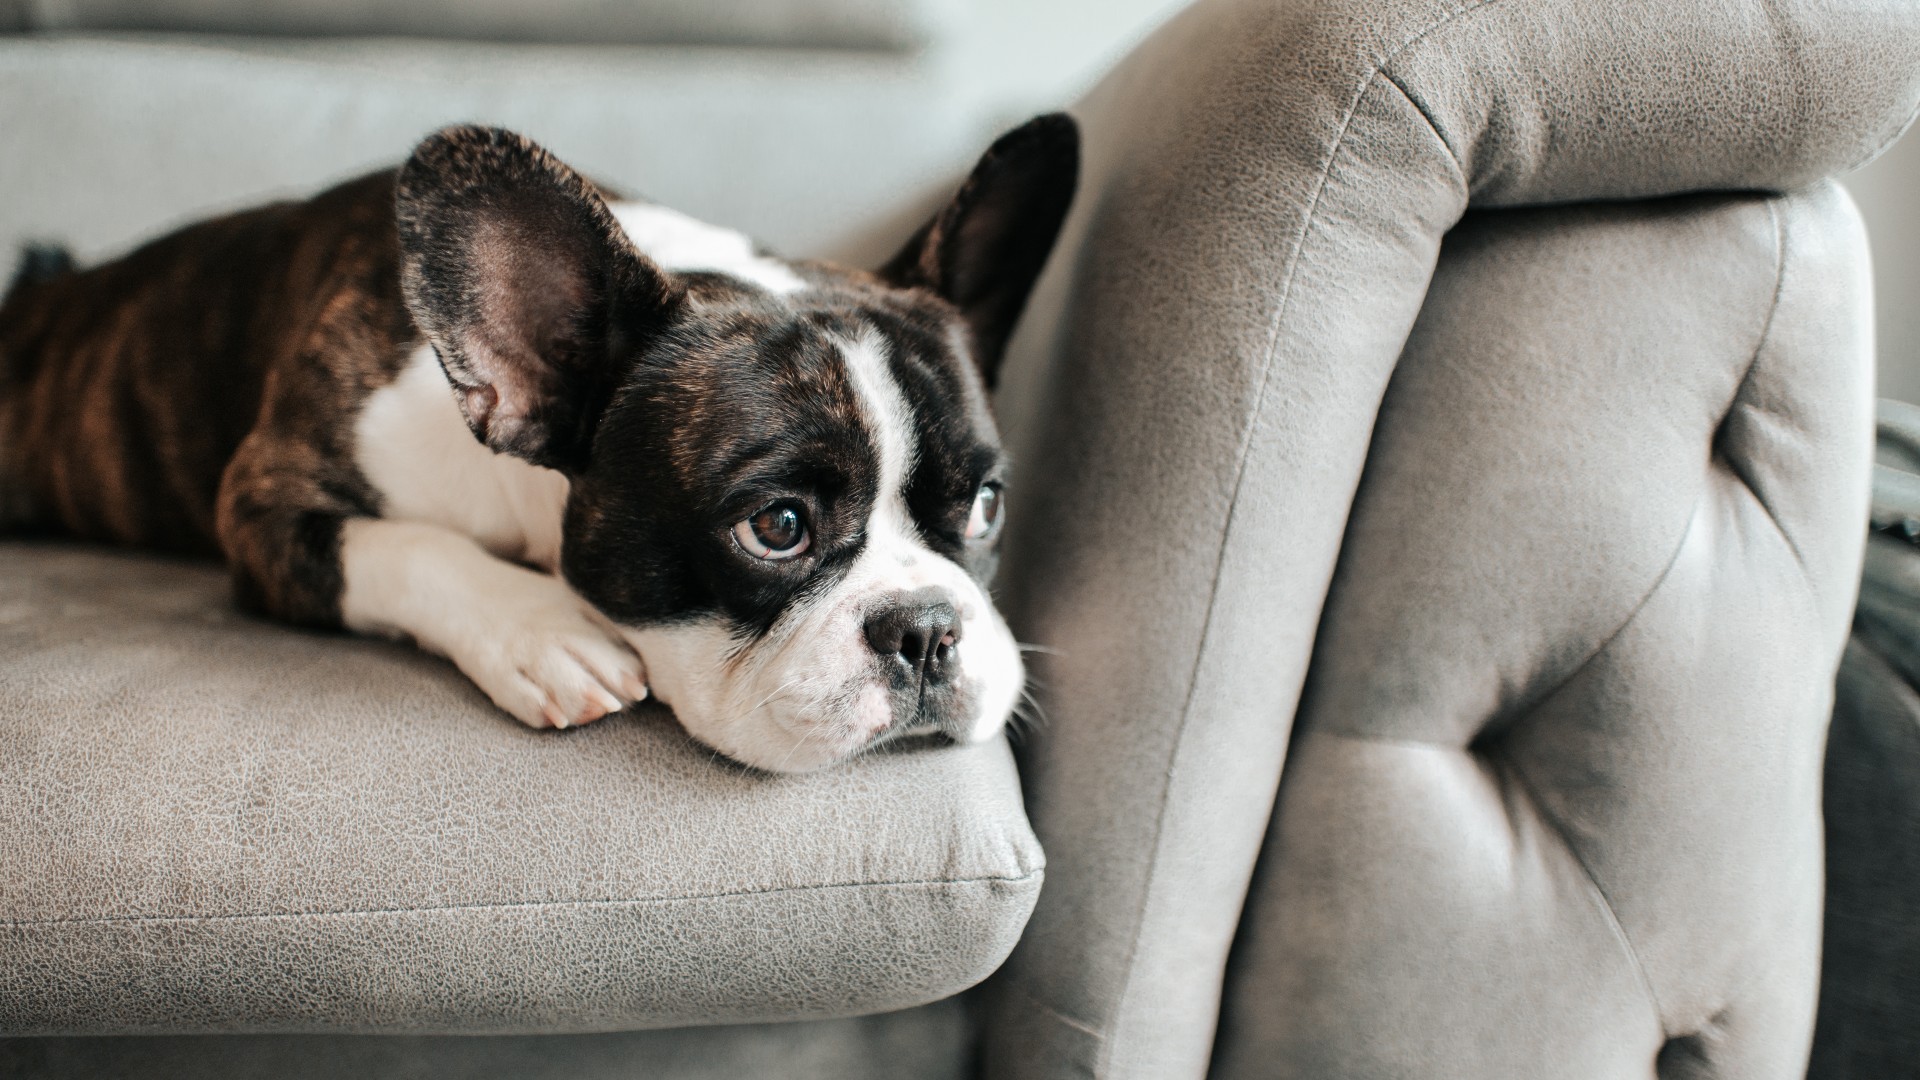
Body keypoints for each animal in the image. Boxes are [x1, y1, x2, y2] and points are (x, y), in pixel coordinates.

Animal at [0, 115, 1082, 764]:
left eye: (986, 507)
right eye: (777, 527)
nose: (927, 628)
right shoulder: (266, 503)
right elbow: (406, 546)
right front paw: (541, 631)